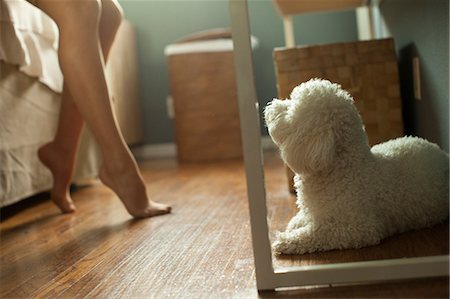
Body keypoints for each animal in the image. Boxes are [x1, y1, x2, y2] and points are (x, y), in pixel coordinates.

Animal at [266, 78, 448, 254]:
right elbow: (305, 218)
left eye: (290, 109)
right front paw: (296, 223)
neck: (341, 168)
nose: (270, 106)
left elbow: (316, 235)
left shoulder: (357, 229)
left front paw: (286, 241)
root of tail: (443, 155)